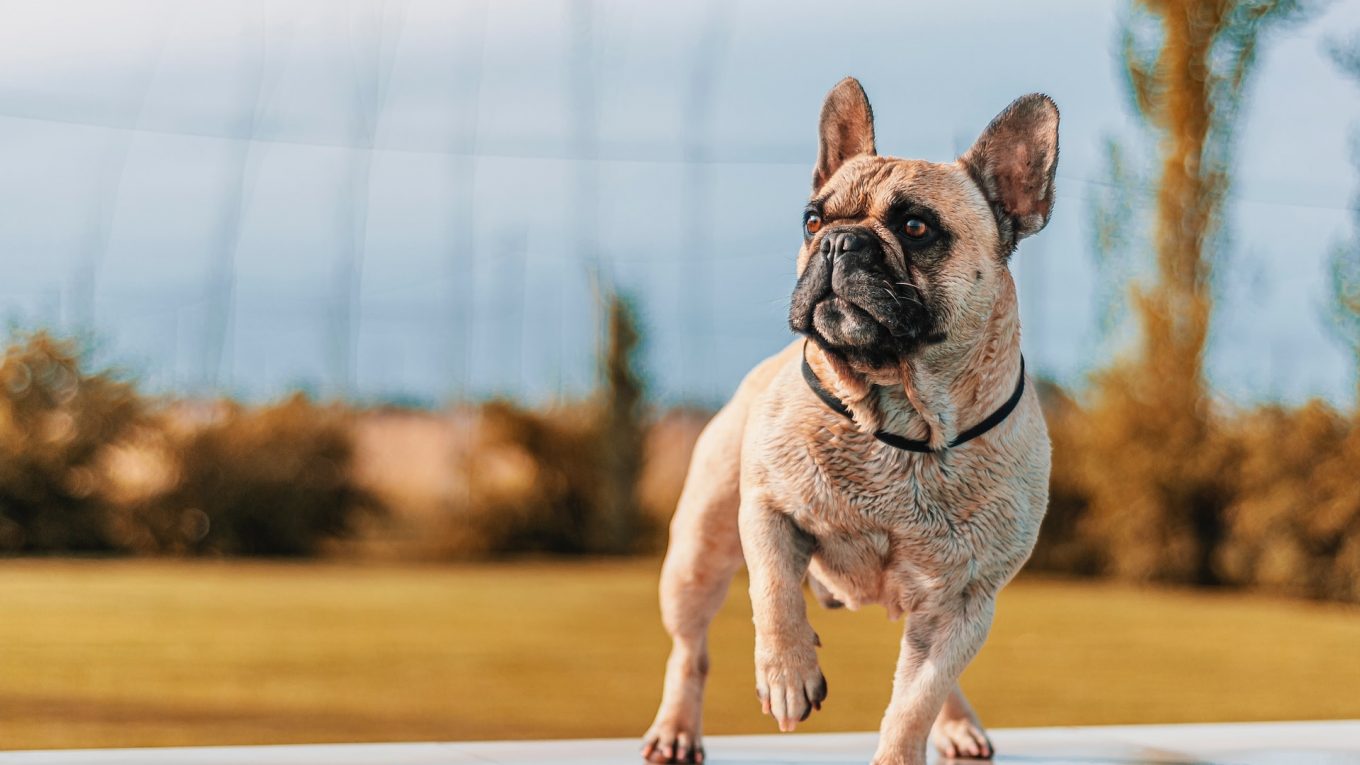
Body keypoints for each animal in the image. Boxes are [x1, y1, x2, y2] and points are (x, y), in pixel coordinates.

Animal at [639, 78, 1060, 762]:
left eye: (916, 227)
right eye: (812, 220)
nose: (840, 241)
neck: (903, 417)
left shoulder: (964, 603)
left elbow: (916, 701)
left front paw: (902, 748)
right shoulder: (768, 508)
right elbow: (775, 594)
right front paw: (787, 675)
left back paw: (958, 724)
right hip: (696, 553)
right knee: (689, 649)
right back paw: (676, 728)